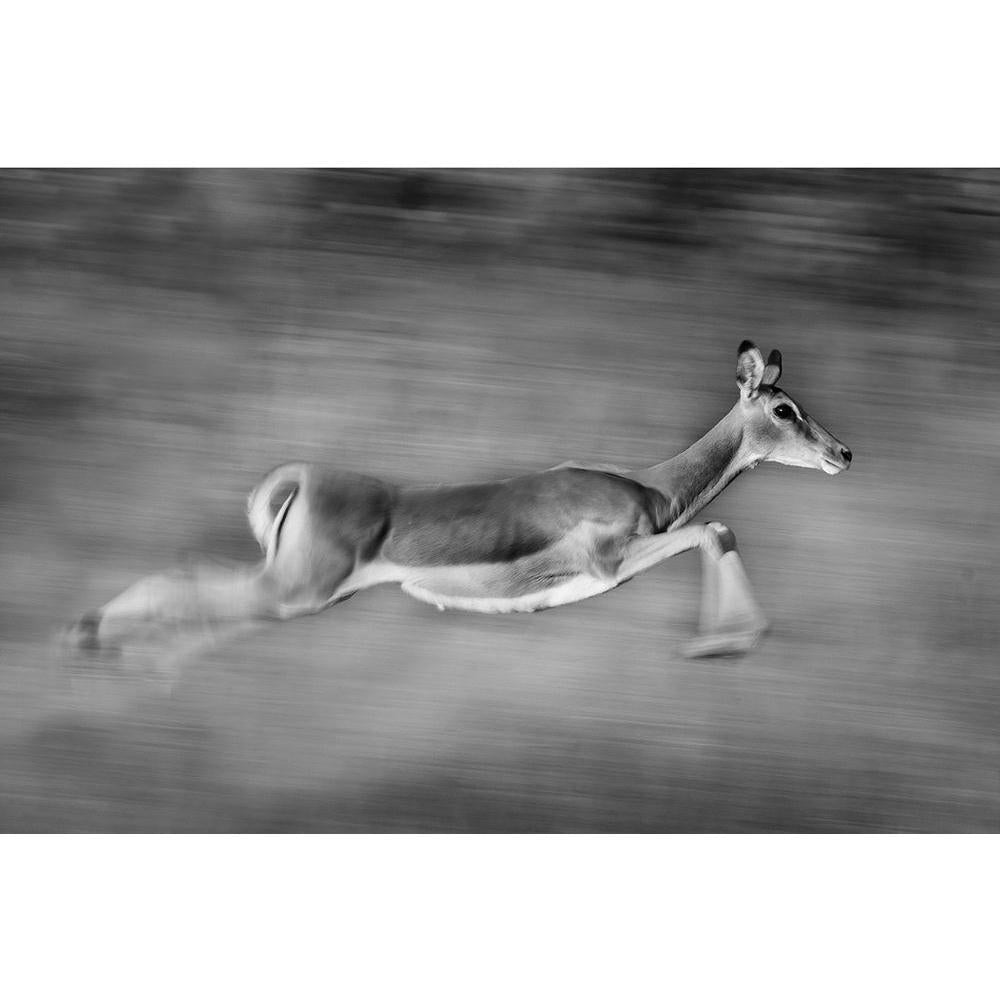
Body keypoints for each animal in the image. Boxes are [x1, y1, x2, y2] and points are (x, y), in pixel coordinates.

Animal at [67, 341, 851, 670]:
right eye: (784, 408)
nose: (843, 454)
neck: (648, 486)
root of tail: (301, 479)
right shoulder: (611, 561)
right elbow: (716, 528)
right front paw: (717, 644)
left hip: (302, 591)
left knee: (186, 582)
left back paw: (96, 638)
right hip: (295, 591)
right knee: (190, 589)